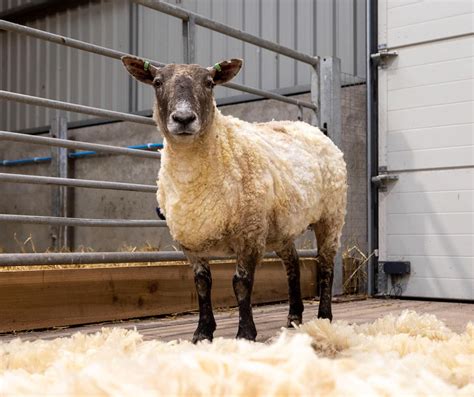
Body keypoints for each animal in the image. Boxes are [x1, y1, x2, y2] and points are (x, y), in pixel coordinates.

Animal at [120, 55, 346, 340]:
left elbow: (241, 283)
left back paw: (324, 316)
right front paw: (203, 332)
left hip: (331, 215)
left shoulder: (248, 233)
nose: (183, 118)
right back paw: (293, 317)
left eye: (209, 83)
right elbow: (202, 284)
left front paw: (245, 333)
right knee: (293, 264)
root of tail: (311, 128)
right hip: (279, 227)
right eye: (158, 82)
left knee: (326, 264)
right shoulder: (191, 241)